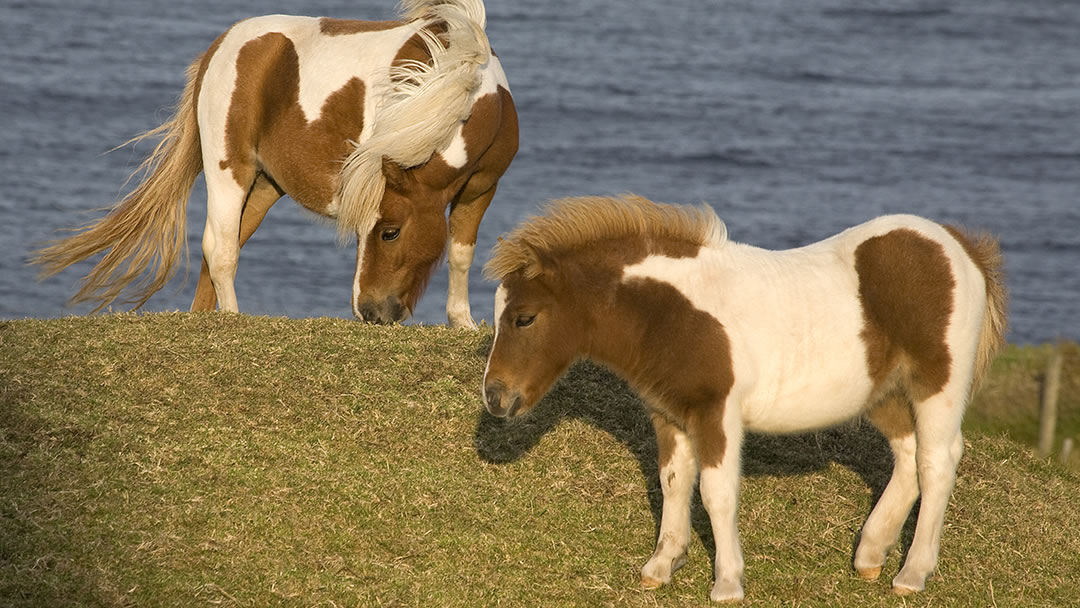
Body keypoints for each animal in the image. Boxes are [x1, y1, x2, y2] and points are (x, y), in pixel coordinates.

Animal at [32, 0, 517, 327]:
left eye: (390, 232)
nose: (369, 312)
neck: (466, 90)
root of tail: (223, 46)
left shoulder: (481, 188)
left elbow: (460, 254)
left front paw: (463, 324)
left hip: (266, 185)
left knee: (218, 252)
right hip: (230, 170)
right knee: (220, 249)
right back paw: (232, 320)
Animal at [481, 194, 1007, 602]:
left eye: (525, 318)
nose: (495, 397)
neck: (672, 311)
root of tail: (960, 247)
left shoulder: (717, 411)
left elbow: (716, 492)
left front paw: (727, 583)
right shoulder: (669, 413)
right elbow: (674, 482)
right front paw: (662, 565)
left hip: (937, 383)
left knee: (937, 461)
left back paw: (913, 572)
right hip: (884, 393)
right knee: (908, 453)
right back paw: (871, 554)